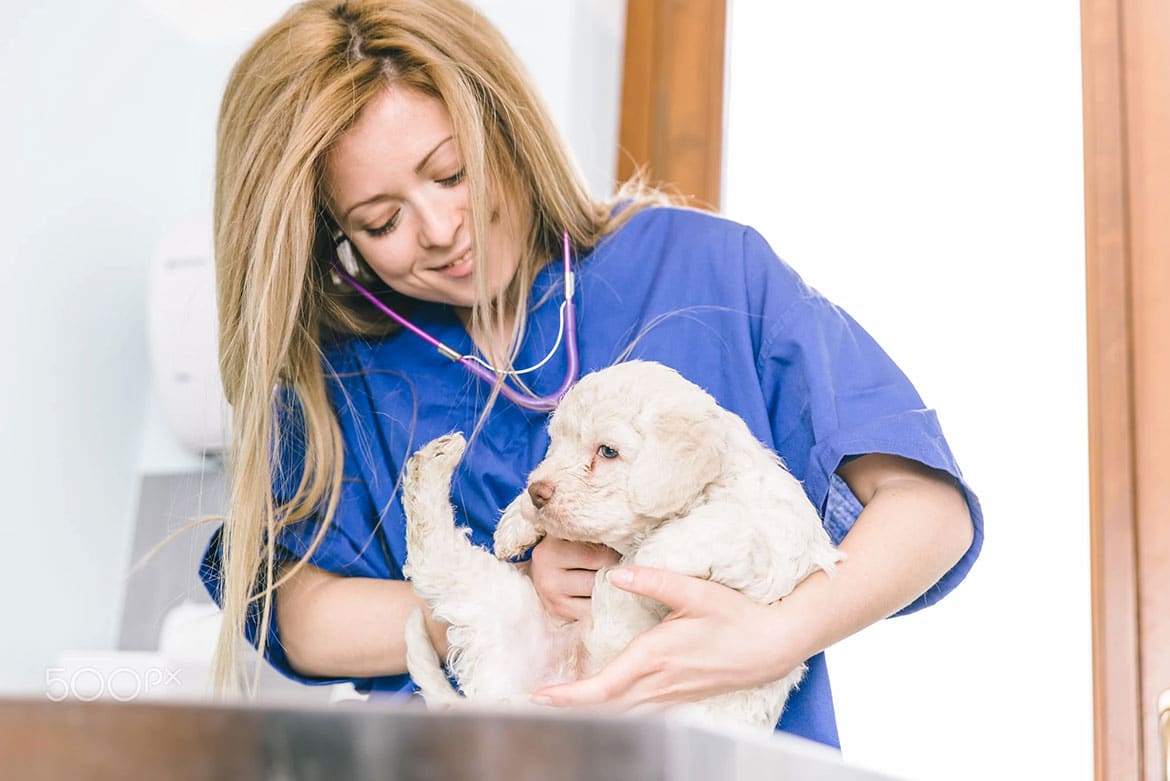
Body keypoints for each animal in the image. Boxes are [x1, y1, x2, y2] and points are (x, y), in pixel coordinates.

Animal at [401, 360, 843, 729]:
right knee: (433, 557)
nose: (537, 493)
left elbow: (712, 528)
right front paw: (515, 523)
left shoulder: (768, 548)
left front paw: (634, 566)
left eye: (608, 451)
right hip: (499, 608)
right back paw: (433, 462)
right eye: (555, 443)